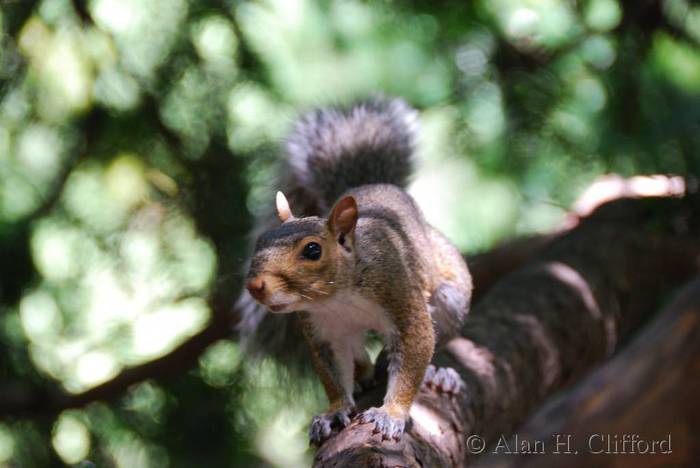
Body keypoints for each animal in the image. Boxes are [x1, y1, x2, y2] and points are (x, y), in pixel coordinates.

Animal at [238, 98, 474, 446]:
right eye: (260, 241)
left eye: (313, 250)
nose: (255, 285)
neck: (338, 297)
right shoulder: (322, 331)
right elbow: (332, 375)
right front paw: (333, 411)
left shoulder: (402, 298)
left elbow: (414, 354)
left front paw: (391, 413)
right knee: (358, 354)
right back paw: (363, 375)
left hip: (448, 293)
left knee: (438, 335)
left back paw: (438, 374)